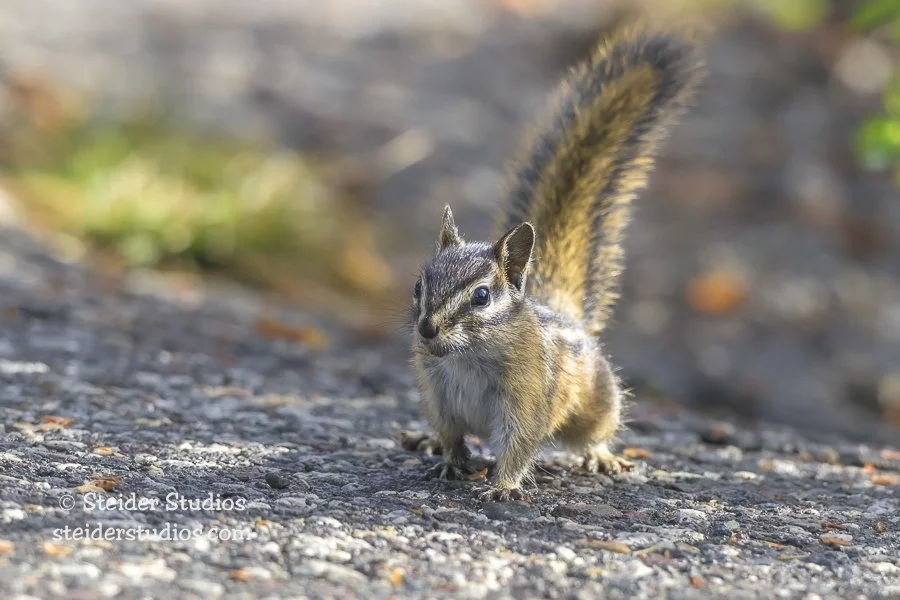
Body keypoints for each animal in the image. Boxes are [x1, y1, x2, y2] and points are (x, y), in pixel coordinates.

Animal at [408, 25, 704, 501]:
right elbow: (451, 433)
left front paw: (503, 486)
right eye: (420, 285)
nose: (427, 329)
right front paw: (449, 460)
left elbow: (519, 443)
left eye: (481, 296)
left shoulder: (528, 397)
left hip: (597, 403)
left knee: (595, 431)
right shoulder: (437, 395)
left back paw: (601, 455)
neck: (468, 358)